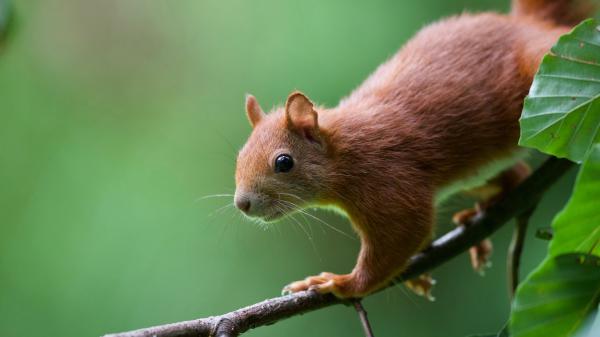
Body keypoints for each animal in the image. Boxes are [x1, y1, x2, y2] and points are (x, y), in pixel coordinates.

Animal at [232, 0, 592, 300]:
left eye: (284, 162)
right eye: (239, 157)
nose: (242, 204)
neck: (345, 150)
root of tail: (526, 23)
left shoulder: (388, 180)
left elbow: (402, 234)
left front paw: (340, 283)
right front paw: (414, 276)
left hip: (538, 64)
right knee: (518, 173)